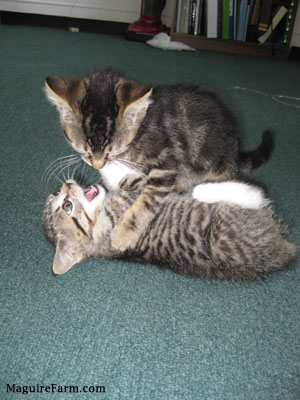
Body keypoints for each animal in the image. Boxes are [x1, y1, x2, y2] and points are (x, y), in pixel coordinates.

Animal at [41, 175, 296, 282]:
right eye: (67, 206)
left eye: (61, 199)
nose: (64, 185)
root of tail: (280, 253)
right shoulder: (135, 199)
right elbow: (132, 179)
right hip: (225, 224)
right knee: (256, 198)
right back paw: (211, 191)